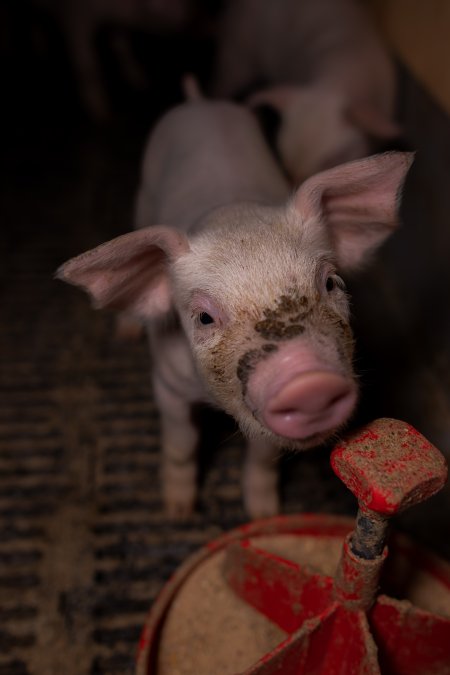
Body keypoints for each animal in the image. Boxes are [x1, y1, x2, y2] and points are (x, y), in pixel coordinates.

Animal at [57, 93, 414, 516]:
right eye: (204, 317)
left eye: (330, 282)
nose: (308, 380)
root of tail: (199, 101)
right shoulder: (166, 383)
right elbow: (182, 444)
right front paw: (178, 510)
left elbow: (263, 459)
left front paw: (265, 514)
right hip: (142, 196)